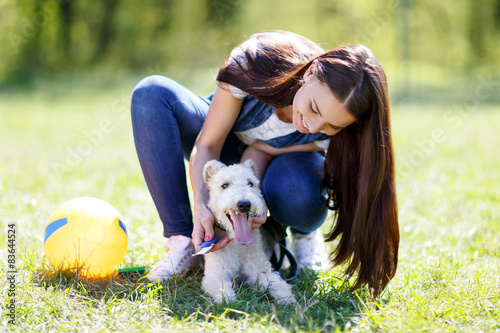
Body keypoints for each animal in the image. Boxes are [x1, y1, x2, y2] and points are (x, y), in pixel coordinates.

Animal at [201, 160, 296, 304]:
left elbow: (277, 284)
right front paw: (227, 300)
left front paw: (287, 299)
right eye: (224, 185)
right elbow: (222, 289)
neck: (237, 243)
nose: (244, 204)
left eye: (250, 183)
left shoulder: (260, 271)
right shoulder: (215, 276)